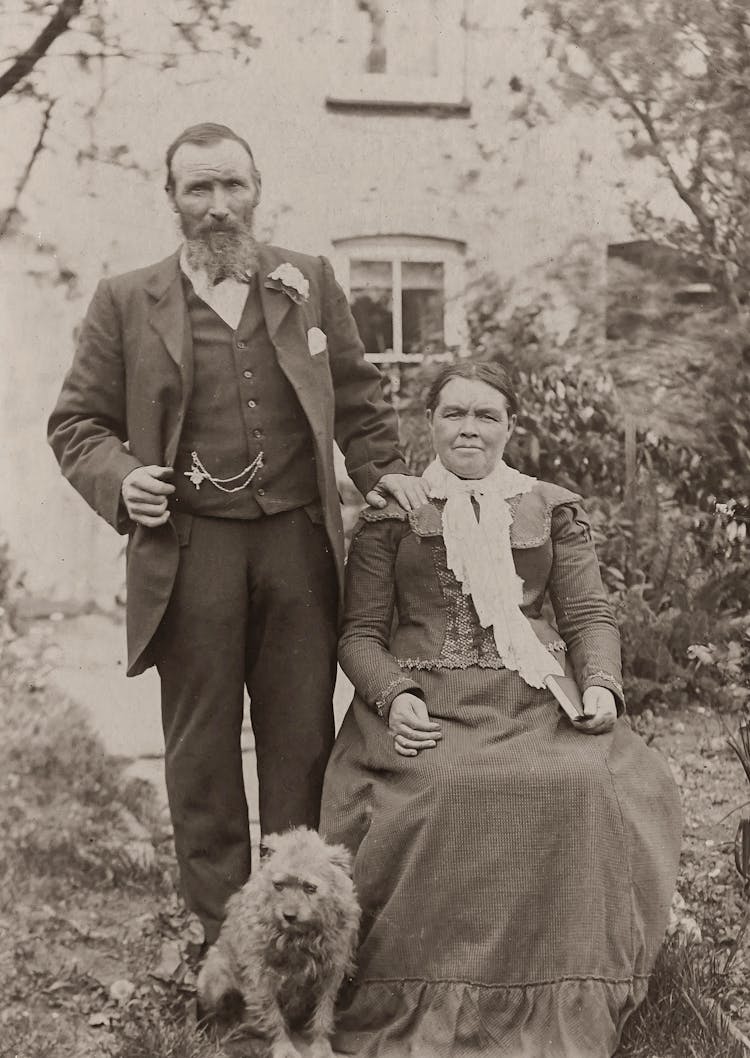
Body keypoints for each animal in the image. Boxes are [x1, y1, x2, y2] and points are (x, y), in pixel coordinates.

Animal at [197, 825, 361, 1058]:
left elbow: (323, 1016)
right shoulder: (262, 978)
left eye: (310, 888)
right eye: (279, 885)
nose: (288, 915)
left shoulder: (330, 975)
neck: (298, 938)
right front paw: (284, 1048)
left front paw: (321, 1046)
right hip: (215, 981)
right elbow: (273, 1018)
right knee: (218, 1018)